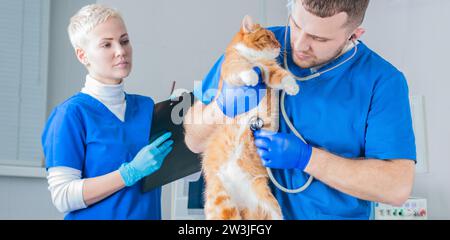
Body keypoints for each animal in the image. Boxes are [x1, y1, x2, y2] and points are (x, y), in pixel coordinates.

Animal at [200, 15, 298, 220]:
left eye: (275, 38)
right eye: (268, 37)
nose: (279, 44)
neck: (255, 59)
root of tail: (242, 205)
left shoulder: (269, 70)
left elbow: (282, 76)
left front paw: (293, 86)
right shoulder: (232, 66)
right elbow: (243, 69)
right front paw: (251, 77)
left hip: (270, 205)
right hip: (222, 201)